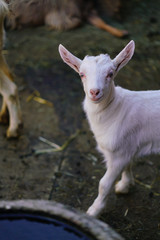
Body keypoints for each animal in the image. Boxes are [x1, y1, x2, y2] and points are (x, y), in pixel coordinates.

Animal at [58, 40, 160, 218]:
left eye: (110, 74)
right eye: (82, 74)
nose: (94, 92)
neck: (114, 110)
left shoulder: (117, 154)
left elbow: (103, 184)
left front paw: (94, 211)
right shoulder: (126, 146)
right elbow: (128, 165)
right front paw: (125, 185)